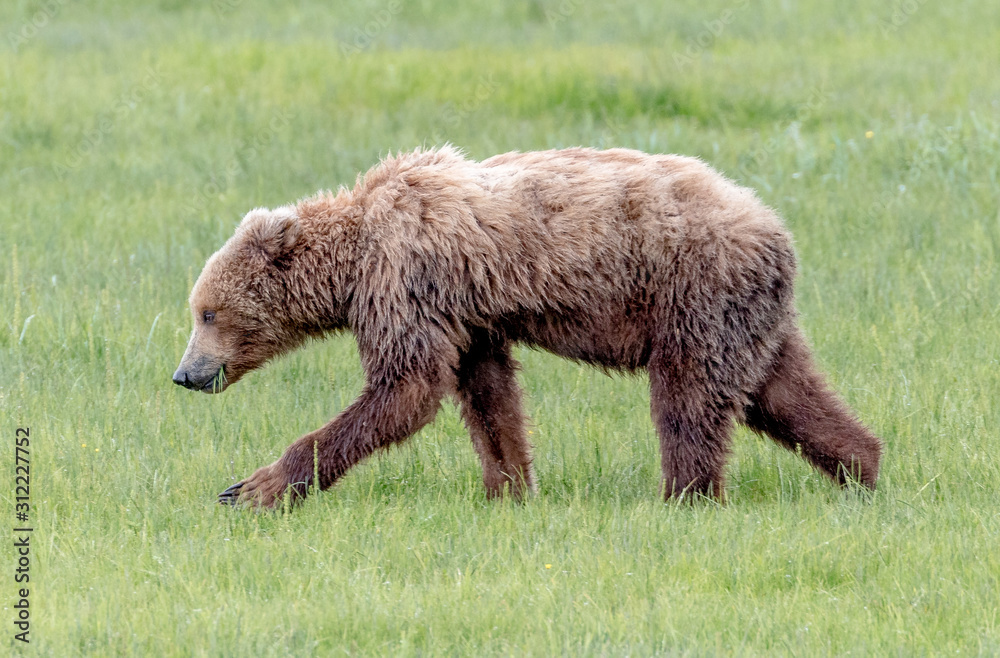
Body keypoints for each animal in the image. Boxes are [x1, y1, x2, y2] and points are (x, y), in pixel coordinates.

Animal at [172, 146, 883, 509]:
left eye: (207, 312)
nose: (185, 373)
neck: (355, 256)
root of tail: (776, 229)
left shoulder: (408, 283)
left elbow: (405, 389)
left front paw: (253, 487)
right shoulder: (467, 309)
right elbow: (488, 395)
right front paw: (510, 486)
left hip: (693, 293)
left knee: (688, 401)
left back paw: (685, 495)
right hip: (748, 317)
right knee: (785, 394)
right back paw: (863, 466)